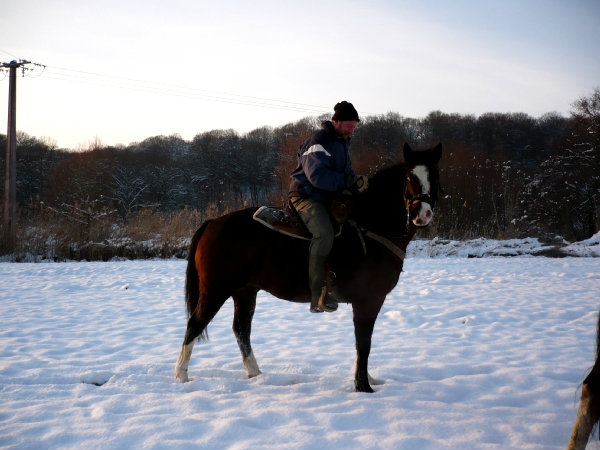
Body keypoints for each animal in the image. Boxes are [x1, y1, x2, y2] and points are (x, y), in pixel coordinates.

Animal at [173, 142, 440, 392]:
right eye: (409, 177)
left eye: (435, 176)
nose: (423, 214)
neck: (371, 226)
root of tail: (212, 223)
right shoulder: (368, 300)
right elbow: (364, 343)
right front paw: (363, 385)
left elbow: (361, 344)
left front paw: (366, 379)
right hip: (216, 291)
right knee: (195, 324)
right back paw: (182, 375)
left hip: (245, 292)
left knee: (241, 329)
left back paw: (255, 374)